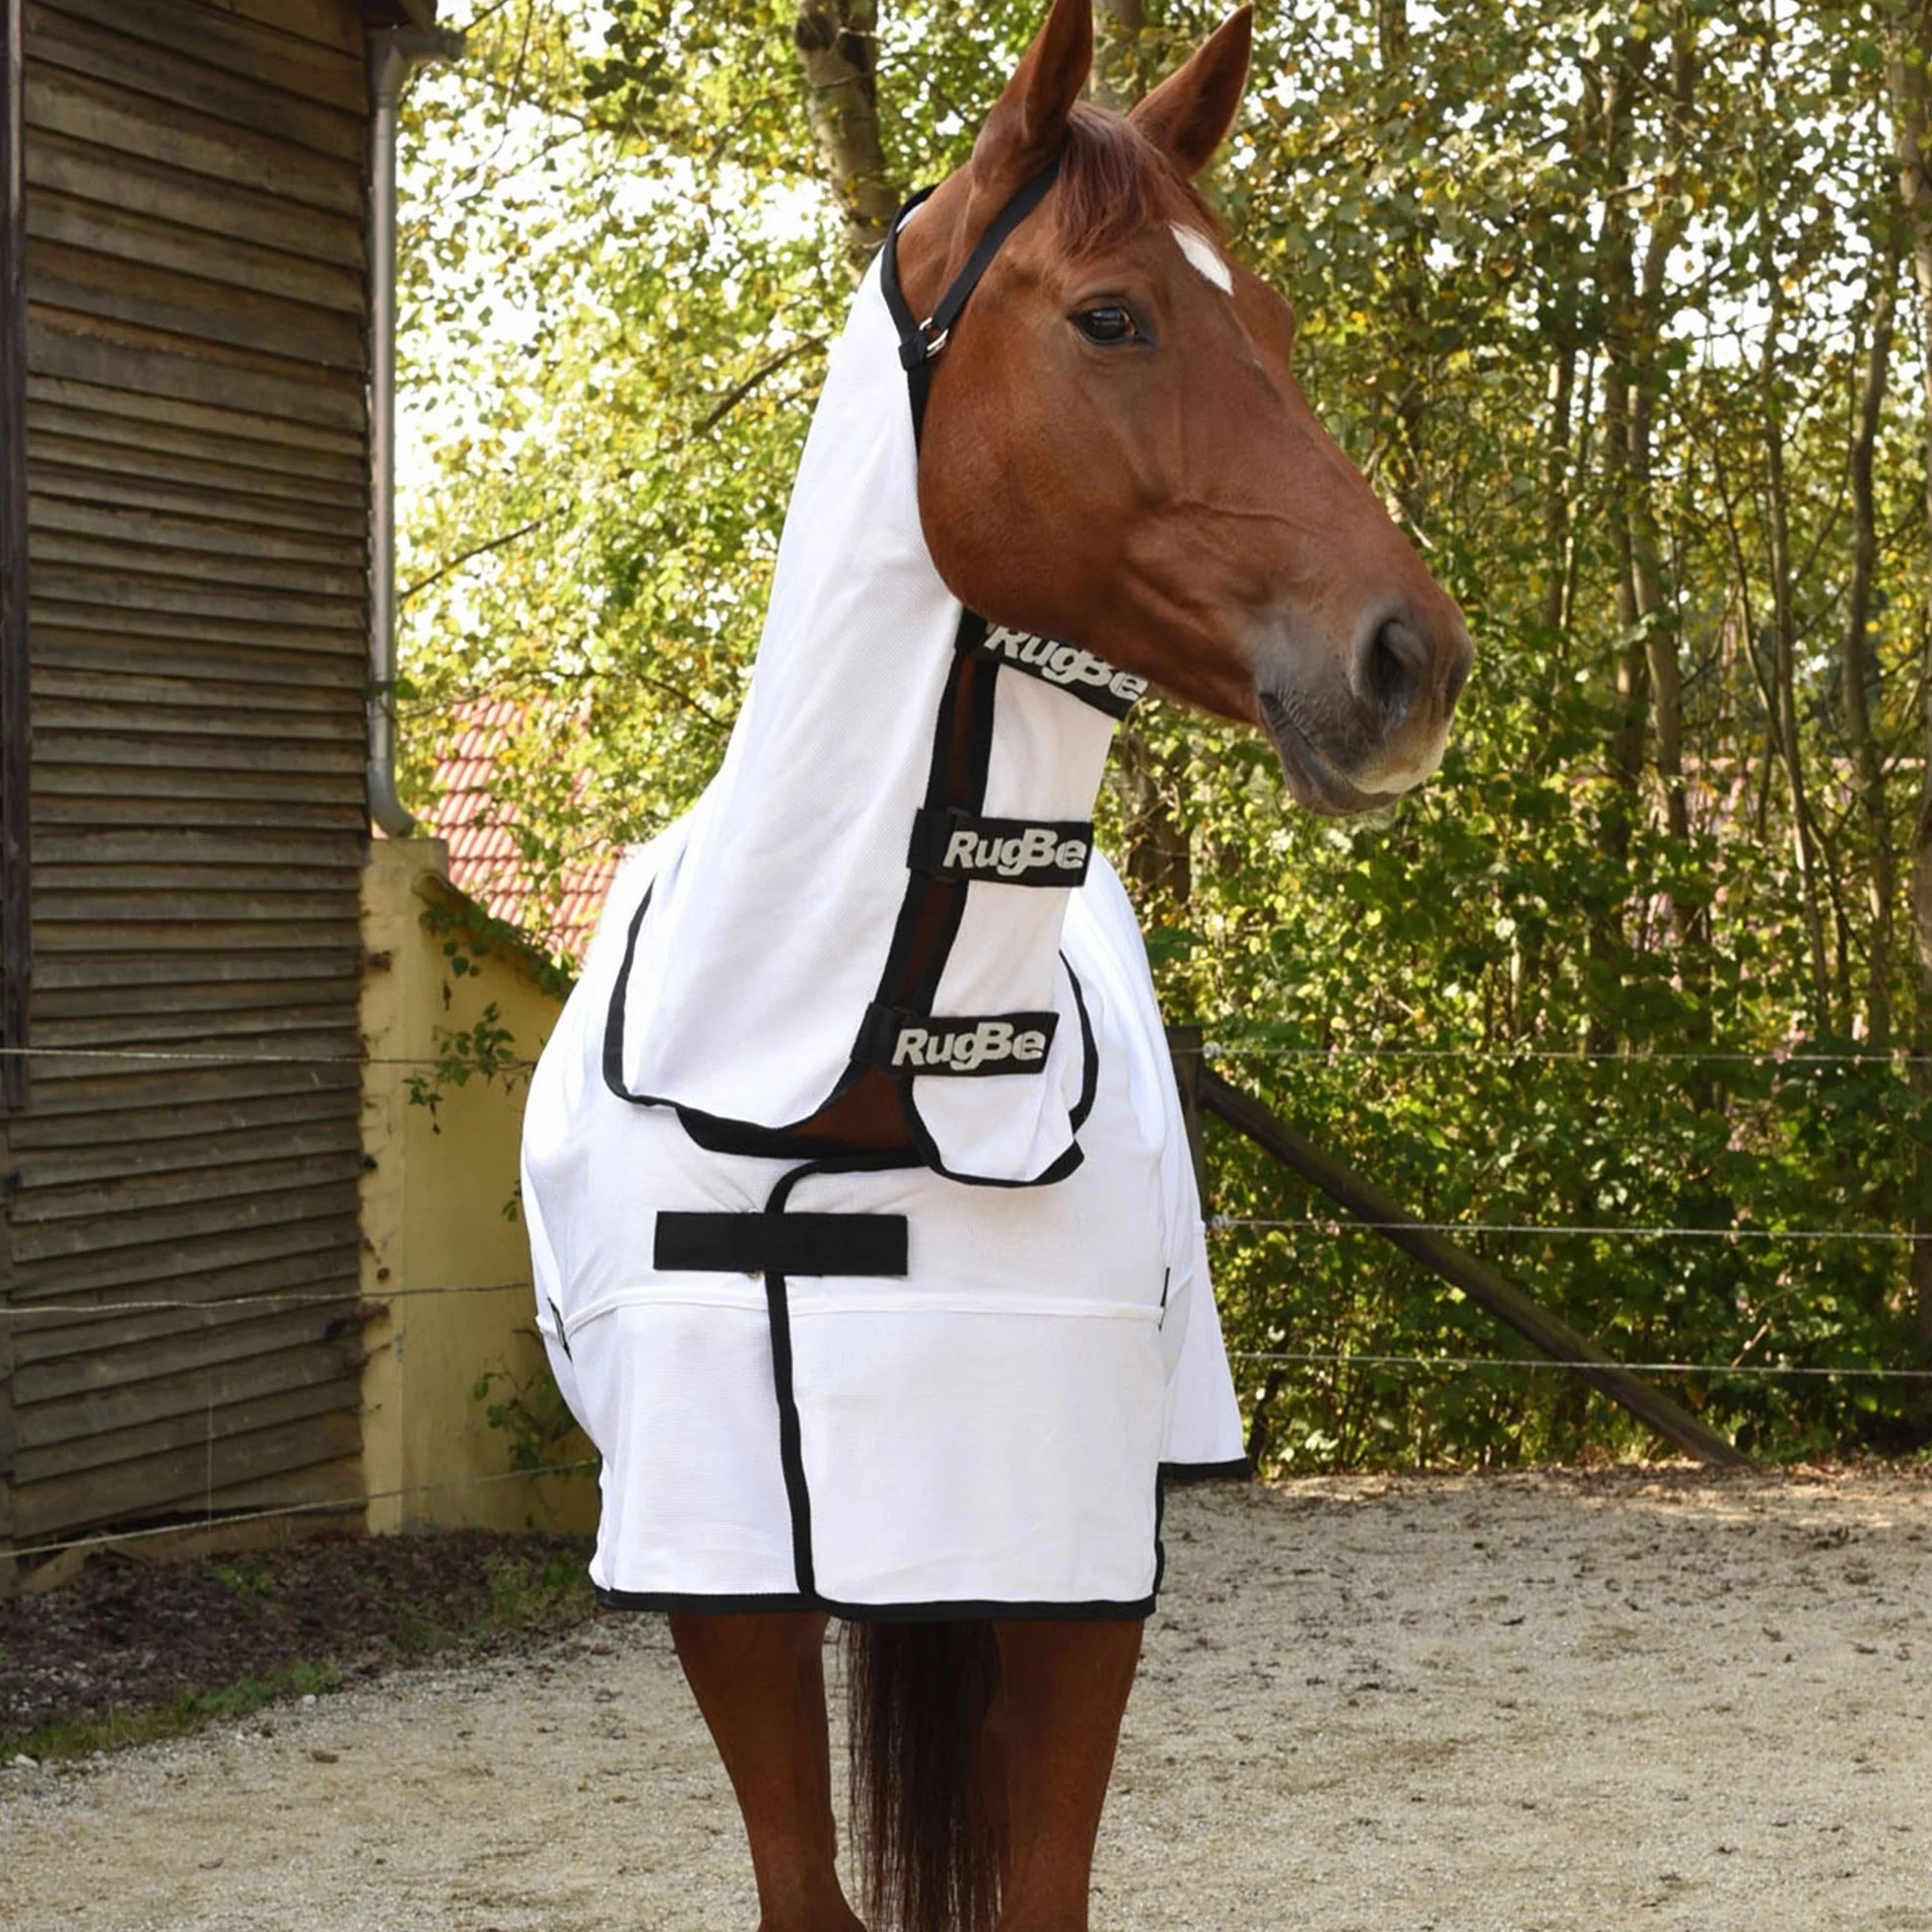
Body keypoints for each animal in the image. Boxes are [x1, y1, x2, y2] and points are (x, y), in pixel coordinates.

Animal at [519, 3, 1472, 1928]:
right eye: (1111, 316)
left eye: (1273, 323)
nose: (1413, 660)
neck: (845, 1088)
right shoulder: (719, 1577)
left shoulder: (1067, 1555)